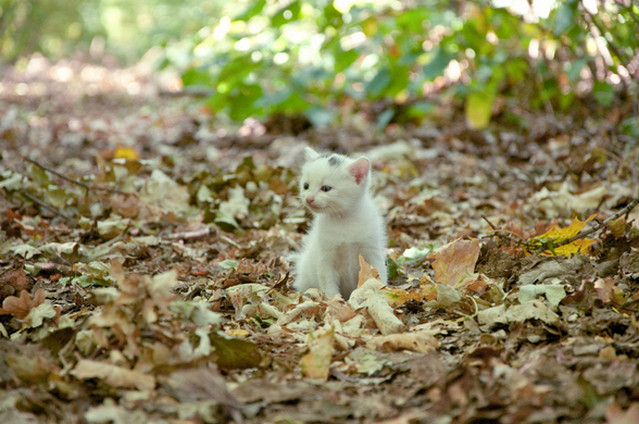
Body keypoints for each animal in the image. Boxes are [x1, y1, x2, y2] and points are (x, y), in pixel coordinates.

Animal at [292, 146, 388, 298]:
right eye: (306, 186)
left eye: (326, 188)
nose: (309, 199)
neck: (344, 220)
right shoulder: (325, 258)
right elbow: (328, 284)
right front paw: (333, 301)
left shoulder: (372, 251)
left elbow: (378, 273)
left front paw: (382, 293)